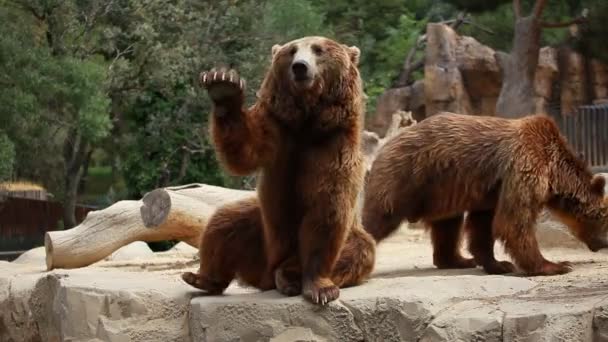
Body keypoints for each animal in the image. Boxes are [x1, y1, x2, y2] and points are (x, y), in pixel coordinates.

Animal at [182, 37, 376, 304]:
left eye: (318, 50)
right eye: (292, 50)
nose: (300, 67)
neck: (307, 121)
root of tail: (265, 274)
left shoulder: (332, 147)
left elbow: (326, 212)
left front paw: (320, 288)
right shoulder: (277, 131)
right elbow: (244, 152)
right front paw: (223, 85)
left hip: (347, 236)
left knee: (357, 250)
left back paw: (288, 276)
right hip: (262, 232)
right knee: (225, 223)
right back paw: (202, 278)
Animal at [360, 112, 608, 276]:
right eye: (605, 219)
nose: (604, 244)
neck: (554, 171)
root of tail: (386, 145)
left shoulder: (490, 192)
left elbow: (483, 226)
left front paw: (498, 264)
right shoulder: (524, 166)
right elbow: (514, 221)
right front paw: (556, 265)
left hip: (441, 189)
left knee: (448, 225)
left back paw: (457, 260)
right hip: (404, 178)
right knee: (377, 218)